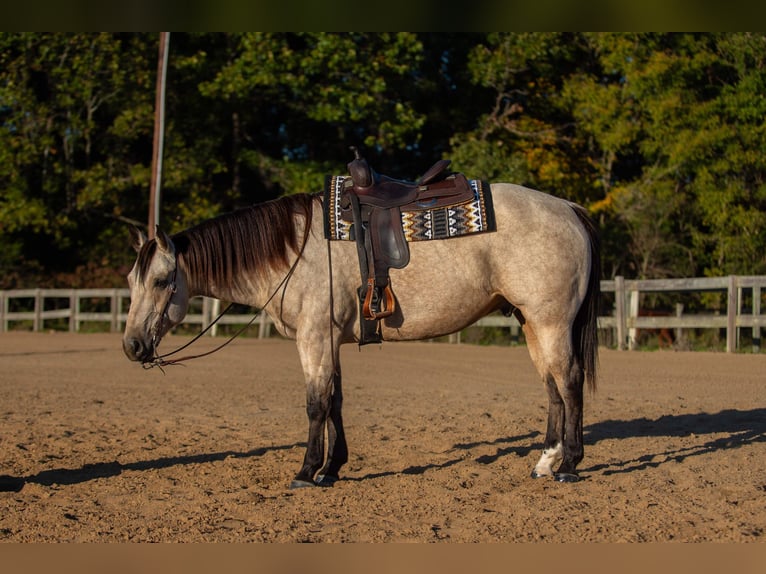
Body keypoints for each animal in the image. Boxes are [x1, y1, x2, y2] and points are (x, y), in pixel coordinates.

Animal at [122, 182, 600, 487]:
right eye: (130, 280)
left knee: (570, 383)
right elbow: (335, 401)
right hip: (531, 323)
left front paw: (306, 472)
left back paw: (570, 464)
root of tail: (567, 207)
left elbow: (315, 404)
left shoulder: (313, 337)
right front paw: (332, 469)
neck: (295, 251)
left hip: (551, 322)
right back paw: (545, 461)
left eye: (162, 281)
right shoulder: (331, 340)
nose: (132, 346)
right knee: (552, 387)